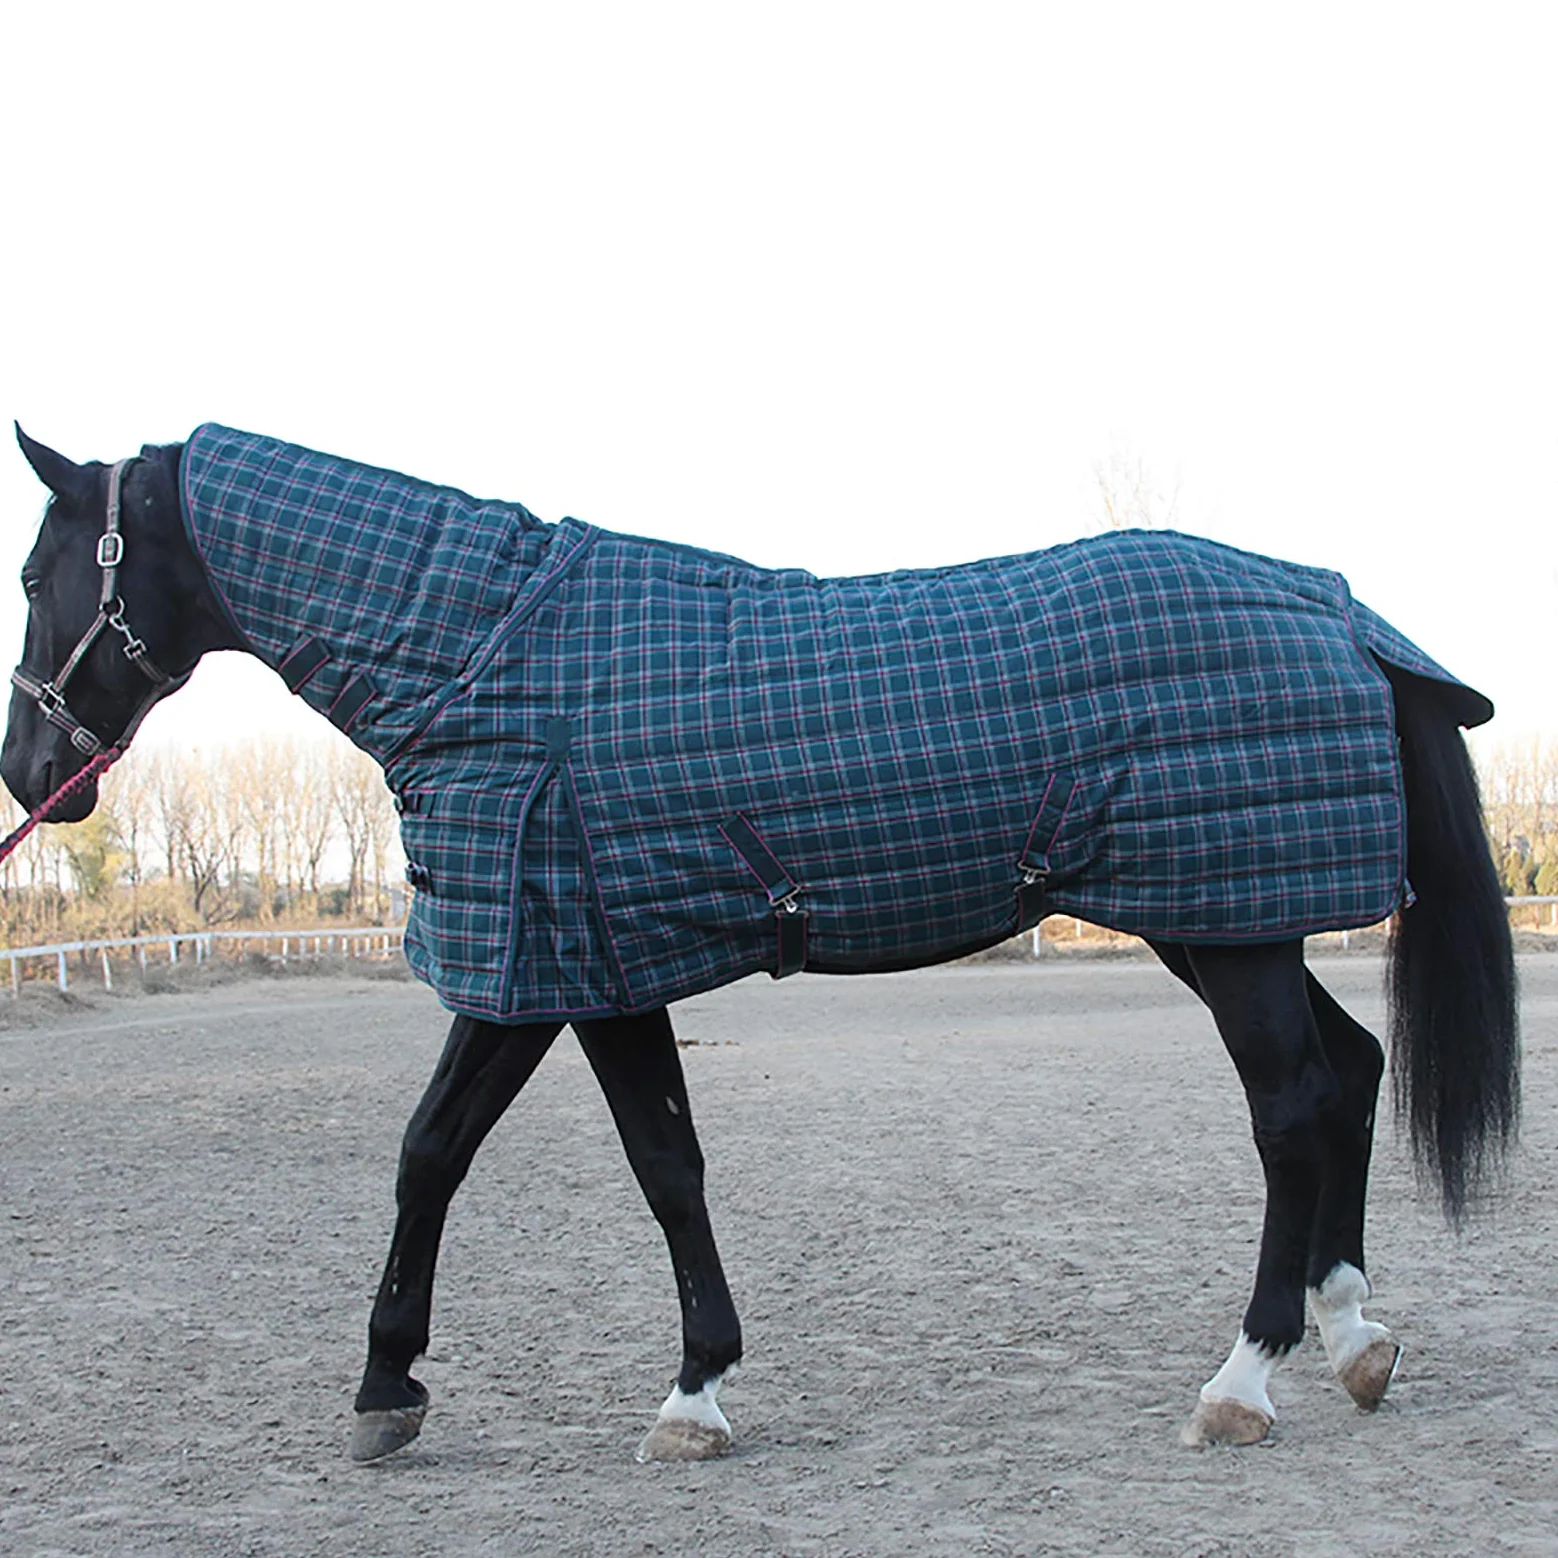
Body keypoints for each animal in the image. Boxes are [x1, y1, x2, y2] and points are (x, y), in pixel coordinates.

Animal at [2, 424, 1518, 1464]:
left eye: (33, 569)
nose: (30, 773)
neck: (488, 658)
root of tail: (1329, 605)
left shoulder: (565, 959)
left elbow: (633, 1165)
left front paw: (684, 1392)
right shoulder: (549, 959)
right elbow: (453, 1148)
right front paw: (394, 1390)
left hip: (1227, 921)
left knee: (1294, 1104)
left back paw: (1243, 1377)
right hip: (1223, 915)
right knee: (1351, 1070)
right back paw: (1352, 1335)